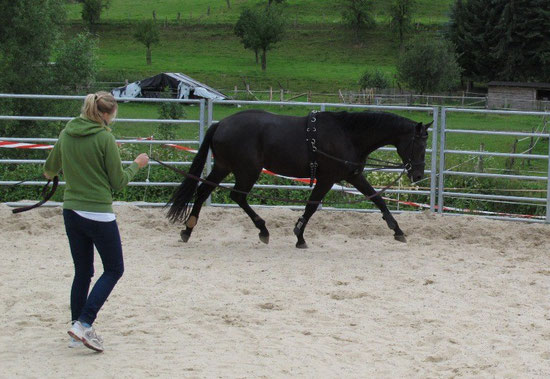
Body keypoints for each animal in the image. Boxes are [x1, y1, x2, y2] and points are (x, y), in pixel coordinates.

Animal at [167, 110, 432, 248]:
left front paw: (397, 230)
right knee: (237, 196)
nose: (418, 175)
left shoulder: (354, 175)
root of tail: (220, 123)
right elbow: (312, 206)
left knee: (203, 191)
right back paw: (263, 230)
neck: (347, 134)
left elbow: (378, 199)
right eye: (419, 144)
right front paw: (299, 235)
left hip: (224, 166)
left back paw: (188, 230)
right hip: (248, 170)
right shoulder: (326, 178)